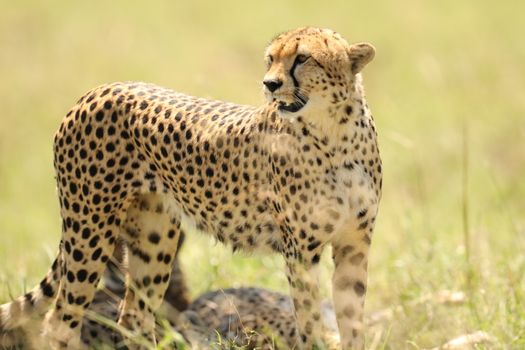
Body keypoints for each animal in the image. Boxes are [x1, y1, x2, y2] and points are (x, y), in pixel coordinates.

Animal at [0, 26, 380, 348]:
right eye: (271, 59)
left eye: (302, 58)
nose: (270, 83)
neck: (335, 134)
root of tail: (100, 89)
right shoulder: (300, 251)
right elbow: (309, 321)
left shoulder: (353, 244)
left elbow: (351, 321)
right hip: (90, 229)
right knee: (60, 319)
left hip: (154, 237)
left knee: (133, 316)